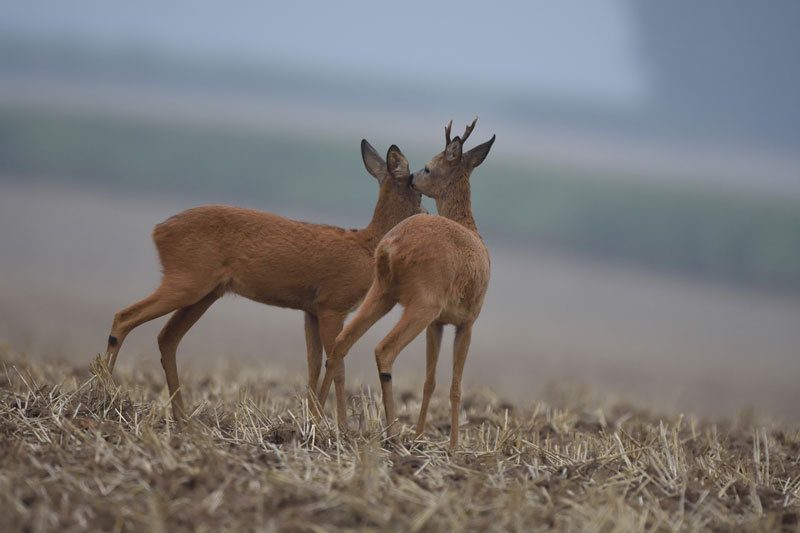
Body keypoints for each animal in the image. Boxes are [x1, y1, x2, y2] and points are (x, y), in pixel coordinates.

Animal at [102, 140, 422, 424]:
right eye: (415, 187)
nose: (425, 215)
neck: (366, 245)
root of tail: (158, 231)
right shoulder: (333, 305)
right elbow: (338, 366)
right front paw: (340, 427)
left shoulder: (311, 310)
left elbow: (313, 364)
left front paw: (313, 422)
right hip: (186, 281)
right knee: (125, 316)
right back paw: (103, 395)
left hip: (205, 293)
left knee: (167, 337)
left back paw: (180, 416)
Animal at [318, 118, 494, 446]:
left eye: (426, 168)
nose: (411, 179)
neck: (472, 231)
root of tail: (390, 245)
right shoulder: (466, 322)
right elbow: (455, 386)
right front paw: (453, 446)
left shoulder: (438, 323)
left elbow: (429, 381)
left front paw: (422, 435)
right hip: (421, 304)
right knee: (384, 350)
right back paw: (391, 432)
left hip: (382, 293)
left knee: (341, 341)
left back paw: (316, 416)